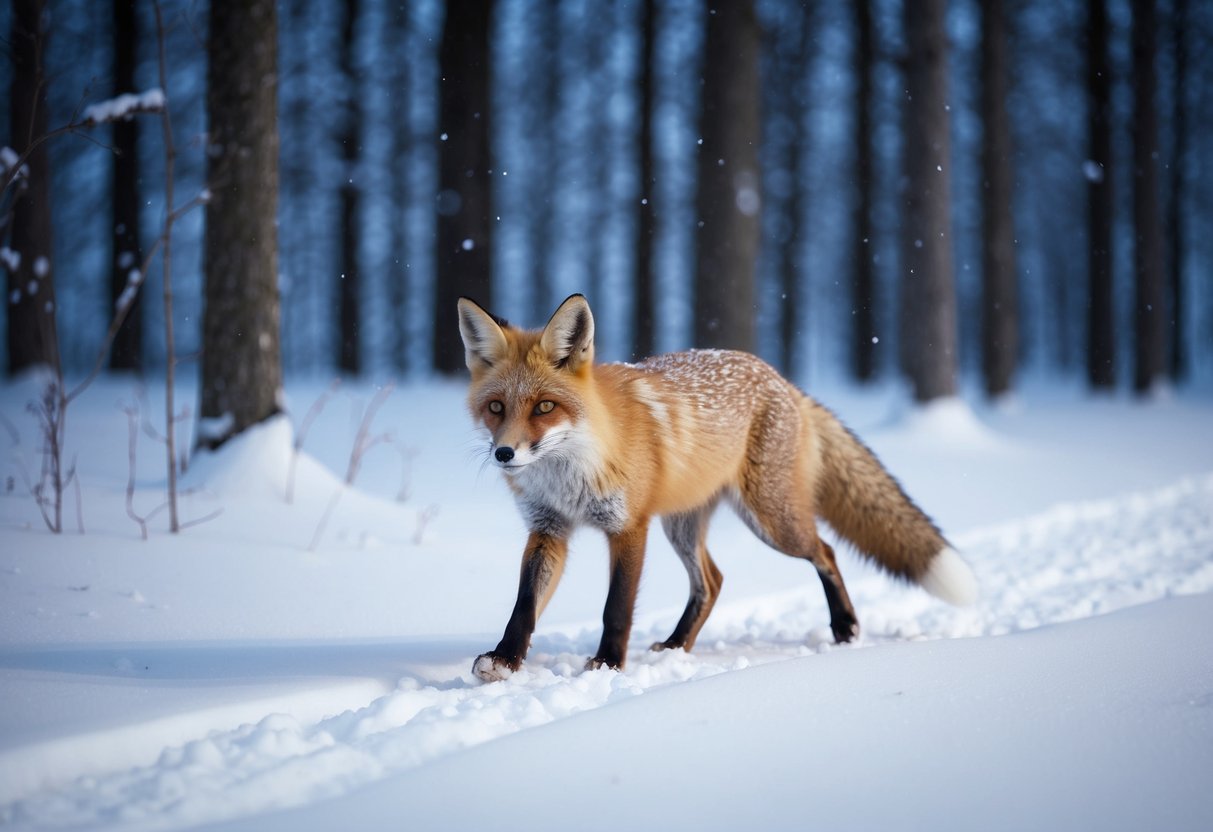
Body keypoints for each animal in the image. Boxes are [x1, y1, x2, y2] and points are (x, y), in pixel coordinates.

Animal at [458, 293, 977, 682]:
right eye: (497, 407)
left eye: (545, 407)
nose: (505, 454)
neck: (571, 472)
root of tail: (783, 380)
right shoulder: (549, 529)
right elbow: (524, 605)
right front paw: (505, 660)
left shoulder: (629, 527)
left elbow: (616, 607)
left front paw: (607, 665)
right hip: (684, 525)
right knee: (712, 581)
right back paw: (676, 647)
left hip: (771, 521)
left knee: (825, 551)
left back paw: (846, 628)